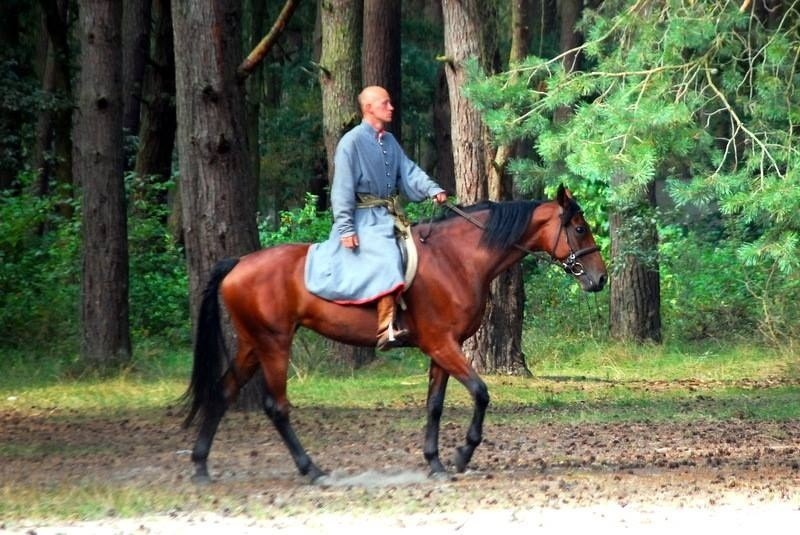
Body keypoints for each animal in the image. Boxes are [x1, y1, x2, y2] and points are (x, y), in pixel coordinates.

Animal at [183, 186, 608, 484]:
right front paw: (462, 454)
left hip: (252, 345)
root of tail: (239, 262)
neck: (457, 259)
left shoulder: (442, 348)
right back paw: (312, 469)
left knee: (223, 392)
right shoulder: (442, 344)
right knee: (276, 406)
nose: (600, 278)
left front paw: (435, 461)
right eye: (579, 228)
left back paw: (201, 465)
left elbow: (435, 405)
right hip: (274, 344)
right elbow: (480, 392)